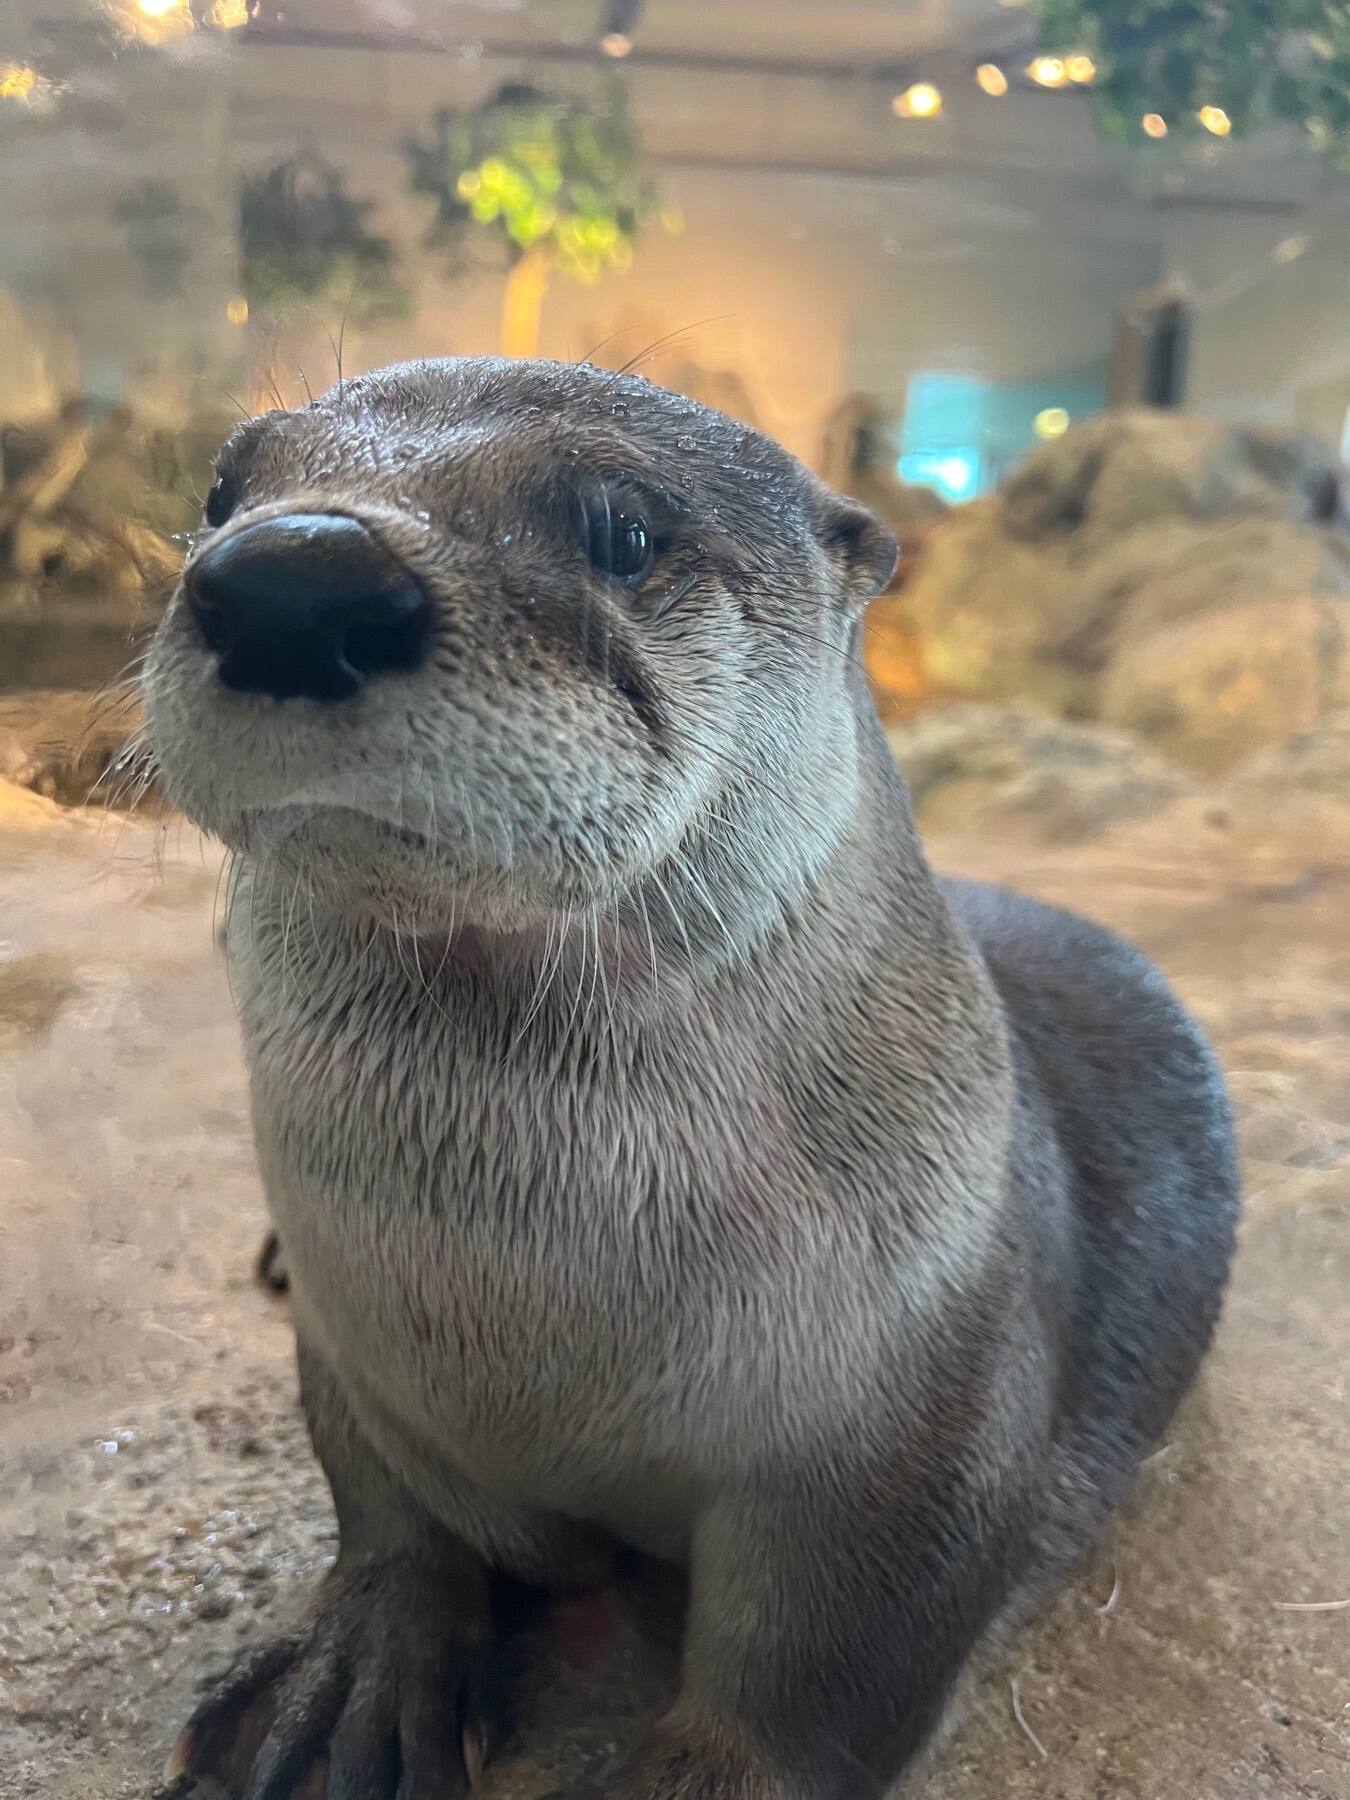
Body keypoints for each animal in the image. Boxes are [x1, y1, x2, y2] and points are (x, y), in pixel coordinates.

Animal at [145, 357, 1238, 1800]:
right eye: (223, 489)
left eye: (624, 527)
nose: (291, 575)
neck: (533, 1319)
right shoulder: (357, 1344)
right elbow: (382, 1504)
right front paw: (358, 1673)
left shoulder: (922, 1421)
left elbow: (826, 1670)